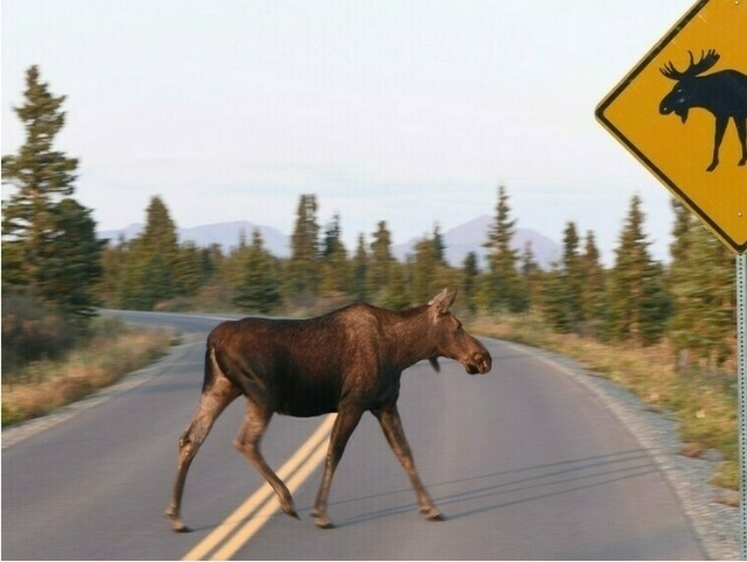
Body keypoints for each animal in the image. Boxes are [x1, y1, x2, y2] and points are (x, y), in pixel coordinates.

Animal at [165, 288, 490, 528]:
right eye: (458, 326)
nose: (483, 357)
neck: (403, 352)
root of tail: (213, 340)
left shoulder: (384, 404)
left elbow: (405, 453)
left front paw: (431, 508)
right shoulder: (353, 403)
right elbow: (334, 452)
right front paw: (321, 513)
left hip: (219, 387)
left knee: (190, 438)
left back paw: (176, 515)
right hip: (261, 395)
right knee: (246, 441)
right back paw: (286, 500)